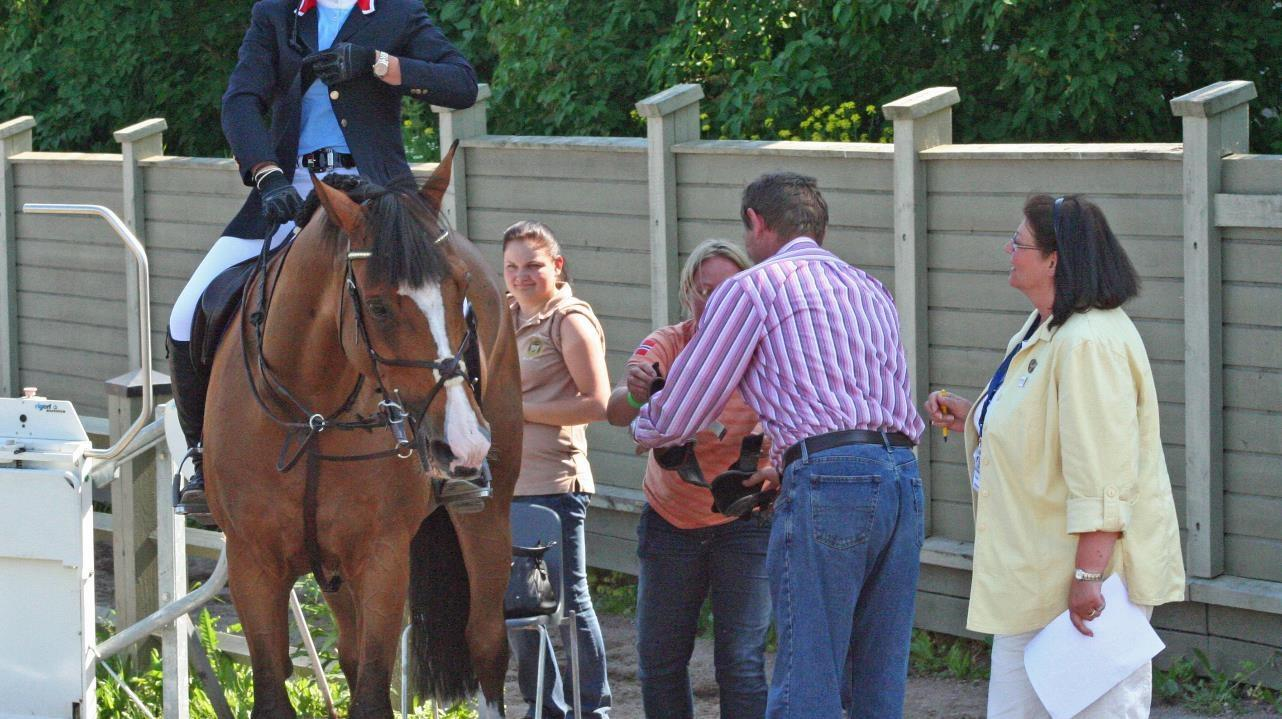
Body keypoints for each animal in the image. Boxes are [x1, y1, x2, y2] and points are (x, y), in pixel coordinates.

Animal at [201, 147, 520, 717]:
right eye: (378, 306)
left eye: (459, 292)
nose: (466, 442)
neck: (313, 413)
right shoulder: (252, 562)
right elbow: (275, 690)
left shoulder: (381, 559)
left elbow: (373, 692)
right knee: (348, 652)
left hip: (488, 515)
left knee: (486, 642)